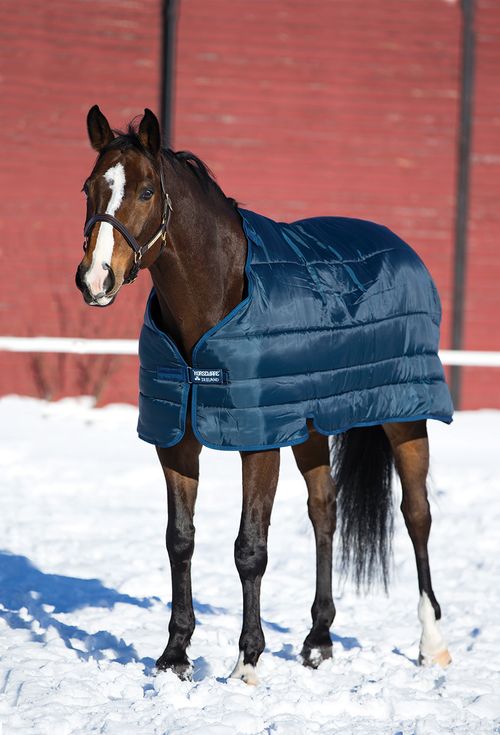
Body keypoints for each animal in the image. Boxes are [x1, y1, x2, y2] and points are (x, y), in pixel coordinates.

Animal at [75, 105, 452, 684]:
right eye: (90, 187)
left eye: (144, 191)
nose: (95, 280)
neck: (219, 295)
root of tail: (400, 245)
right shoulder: (178, 440)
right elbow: (179, 540)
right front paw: (175, 656)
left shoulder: (259, 442)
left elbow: (249, 547)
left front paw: (246, 663)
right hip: (311, 425)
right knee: (325, 511)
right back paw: (318, 640)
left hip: (406, 415)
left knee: (417, 515)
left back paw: (431, 643)